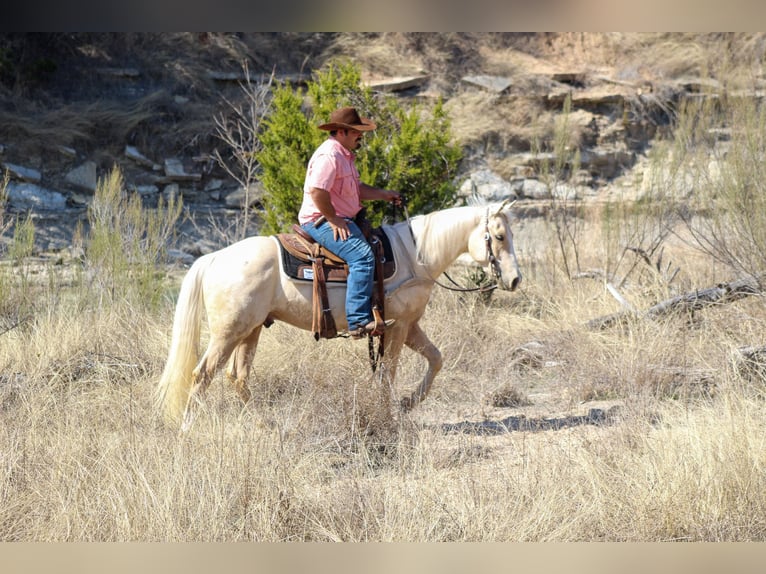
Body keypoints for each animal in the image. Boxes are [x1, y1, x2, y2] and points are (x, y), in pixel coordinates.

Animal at [159, 200, 524, 430]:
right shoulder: (398, 327)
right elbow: (388, 374)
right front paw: (388, 416)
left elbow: (436, 359)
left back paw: (264, 424)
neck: (415, 256)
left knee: (237, 377)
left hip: (251, 329)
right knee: (202, 374)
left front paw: (407, 403)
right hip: (228, 333)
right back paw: (188, 427)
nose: (515, 279)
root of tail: (215, 258)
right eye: (500, 236)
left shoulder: (409, 326)